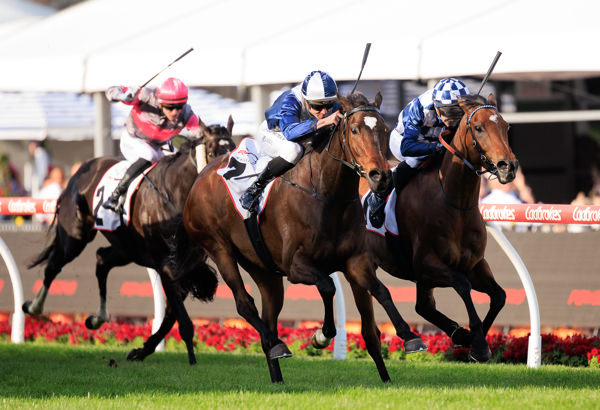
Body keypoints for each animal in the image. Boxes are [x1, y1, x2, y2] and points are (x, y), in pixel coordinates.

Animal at [25, 117, 237, 364]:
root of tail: (81, 171)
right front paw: (191, 359)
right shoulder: (166, 266)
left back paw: (97, 318)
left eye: (234, 150)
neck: (176, 194)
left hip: (126, 248)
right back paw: (33, 306)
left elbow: (172, 313)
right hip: (75, 235)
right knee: (54, 265)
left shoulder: (185, 266)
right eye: (212, 153)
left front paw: (142, 350)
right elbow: (181, 318)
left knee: (101, 260)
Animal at [180, 93, 424, 384]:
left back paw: (277, 375)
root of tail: (200, 178)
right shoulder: (296, 266)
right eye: (354, 130)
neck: (326, 196)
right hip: (219, 249)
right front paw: (321, 335)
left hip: (263, 269)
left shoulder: (356, 261)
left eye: (384, 130)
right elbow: (328, 287)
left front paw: (408, 339)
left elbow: (381, 291)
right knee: (244, 303)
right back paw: (278, 344)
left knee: (268, 315)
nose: (382, 177)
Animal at [368, 95, 516, 362]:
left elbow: (499, 296)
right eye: (478, 127)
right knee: (379, 290)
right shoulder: (426, 264)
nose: (507, 166)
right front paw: (477, 341)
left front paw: (472, 341)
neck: (455, 203)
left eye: (506, 126)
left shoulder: (474, 263)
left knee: (422, 306)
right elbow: (462, 285)